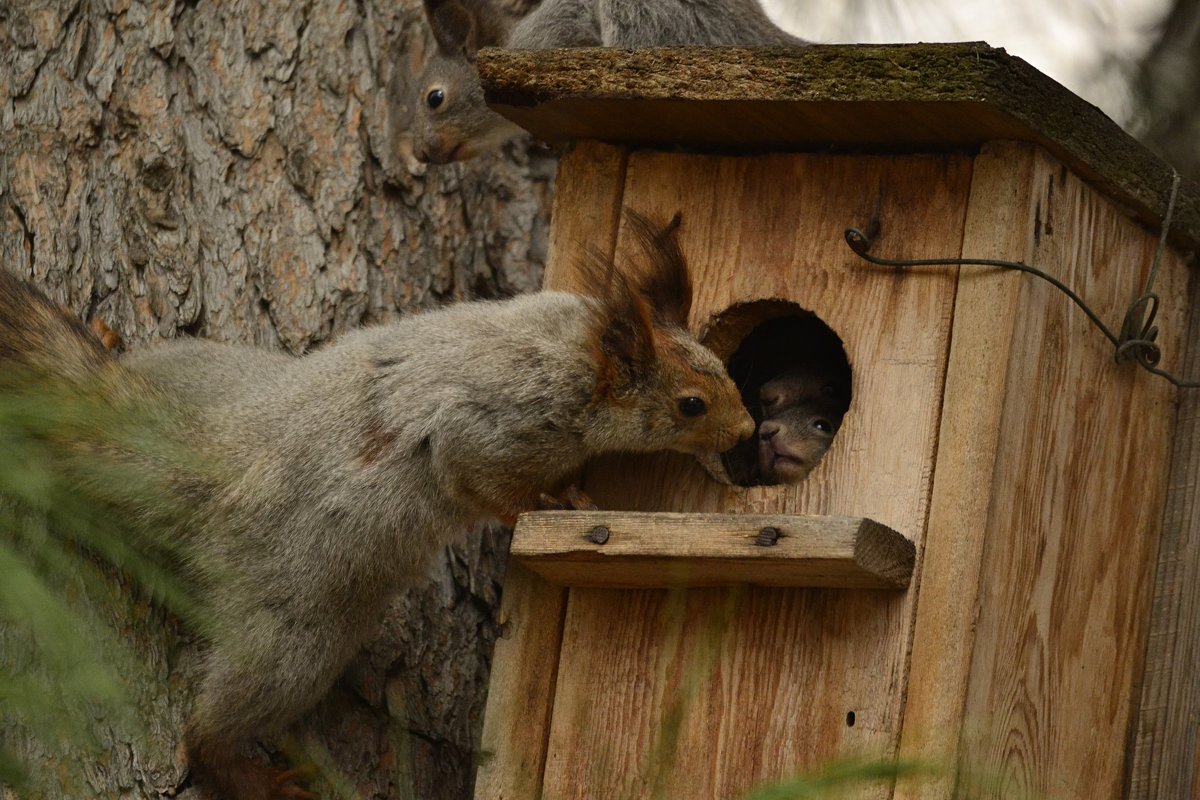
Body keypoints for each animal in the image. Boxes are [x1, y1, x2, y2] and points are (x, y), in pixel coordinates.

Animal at [0, 212, 748, 800]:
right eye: (691, 404)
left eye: (727, 370)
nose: (745, 432)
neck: (574, 352)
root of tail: (201, 455)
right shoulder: (487, 427)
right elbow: (486, 485)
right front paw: (554, 497)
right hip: (298, 624)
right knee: (216, 723)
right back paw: (249, 776)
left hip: (194, 368)